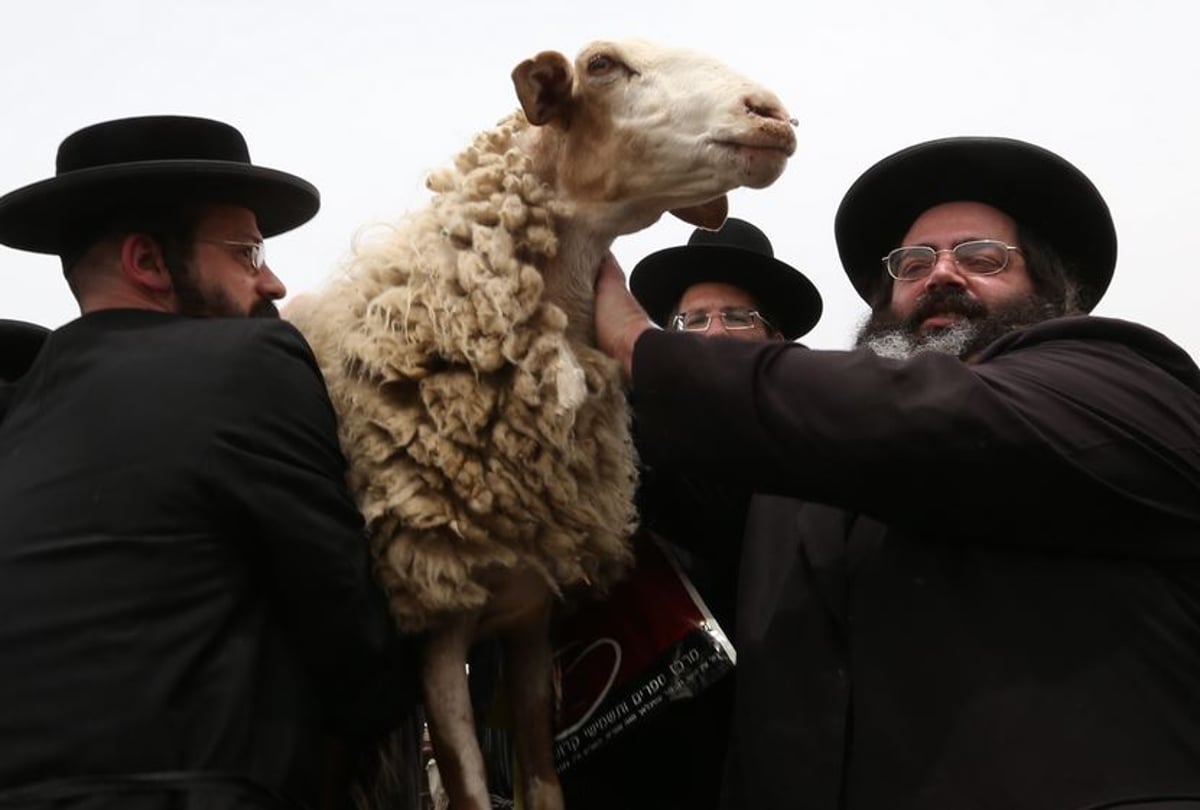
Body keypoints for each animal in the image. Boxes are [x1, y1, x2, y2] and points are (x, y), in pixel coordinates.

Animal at [283, 38, 796, 810]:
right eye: (605, 65)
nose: (772, 116)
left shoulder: (529, 621)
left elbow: (543, 781)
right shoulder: (434, 625)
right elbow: (469, 790)